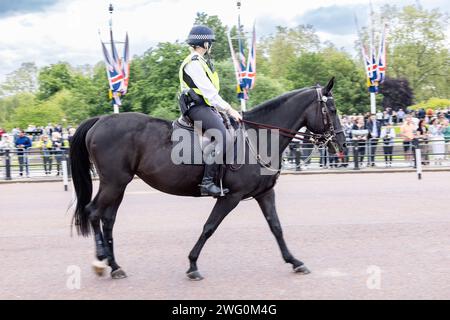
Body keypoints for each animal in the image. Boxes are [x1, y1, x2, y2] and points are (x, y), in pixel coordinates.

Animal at [69, 78, 344, 280]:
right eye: (331, 109)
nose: (341, 144)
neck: (257, 138)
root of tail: (101, 120)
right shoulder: (230, 197)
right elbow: (209, 227)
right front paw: (192, 265)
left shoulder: (265, 193)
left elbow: (276, 227)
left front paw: (294, 261)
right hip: (114, 183)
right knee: (93, 212)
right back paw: (101, 260)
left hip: (119, 185)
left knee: (108, 219)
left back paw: (114, 265)